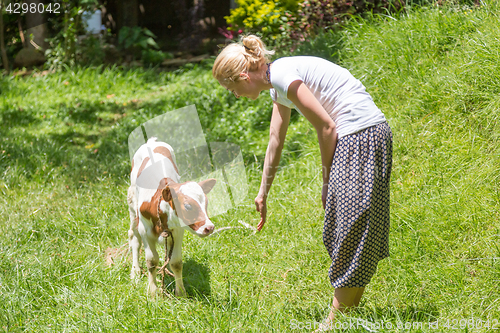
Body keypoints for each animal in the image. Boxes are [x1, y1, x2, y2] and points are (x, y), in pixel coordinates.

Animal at [126, 137, 216, 296]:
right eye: (187, 206)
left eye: (206, 203)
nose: (209, 227)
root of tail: (152, 141)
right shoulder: (145, 230)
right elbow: (152, 261)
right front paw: (153, 292)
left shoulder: (178, 231)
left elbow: (176, 262)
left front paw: (181, 293)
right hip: (132, 204)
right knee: (134, 237)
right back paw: (135, 272)